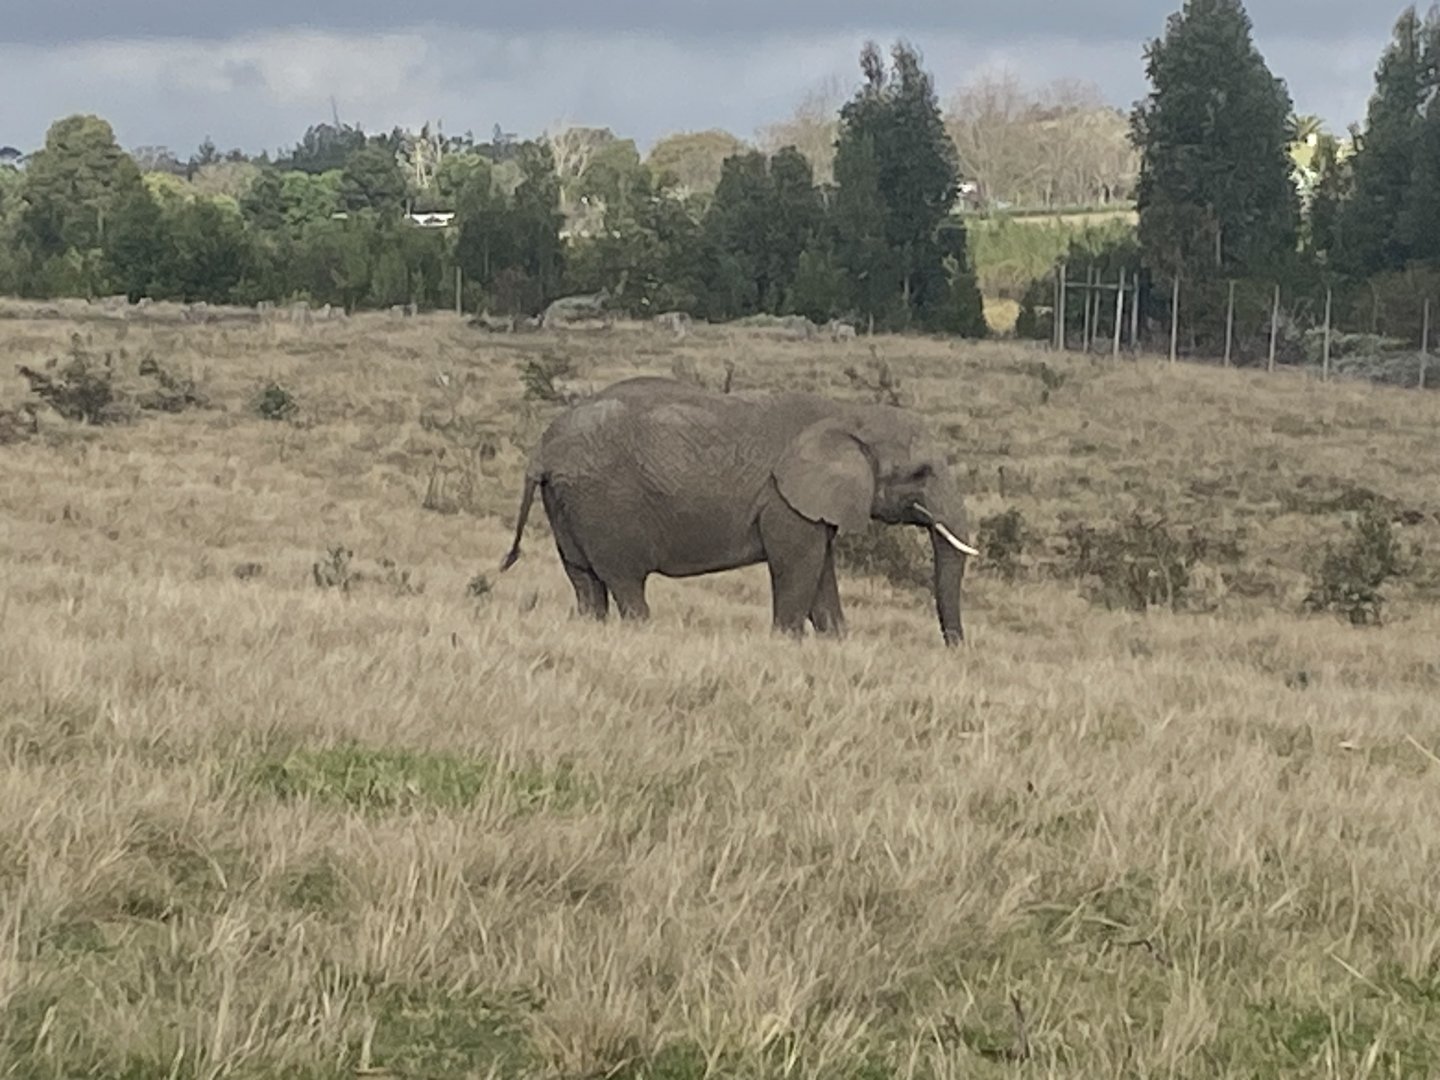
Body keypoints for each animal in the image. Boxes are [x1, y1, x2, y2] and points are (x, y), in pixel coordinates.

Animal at [499, 376, 979, 645]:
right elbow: (798, 571)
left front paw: (837, 644)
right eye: (920, 472)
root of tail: (542, 450)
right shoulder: (786, 502)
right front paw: (787, 644)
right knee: (624, 582)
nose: (956, 649)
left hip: (567, 502)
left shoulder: (812, 507)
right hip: (605, 502)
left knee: (585, 582)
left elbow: (820, 574)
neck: (848, 414)